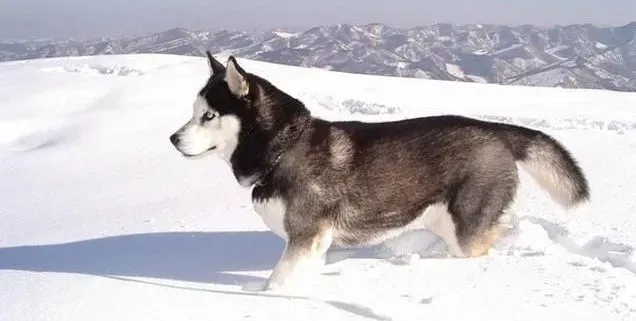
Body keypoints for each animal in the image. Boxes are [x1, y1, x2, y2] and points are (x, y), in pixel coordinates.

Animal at [170, 52, 592, 290]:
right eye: (194, 112)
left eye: (209, 116)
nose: (173, 139)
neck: (283, 150)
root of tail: (493, 129)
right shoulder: (315, 245)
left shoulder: (306, 236)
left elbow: (276, 284)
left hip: (466, 225)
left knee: (491, 236)